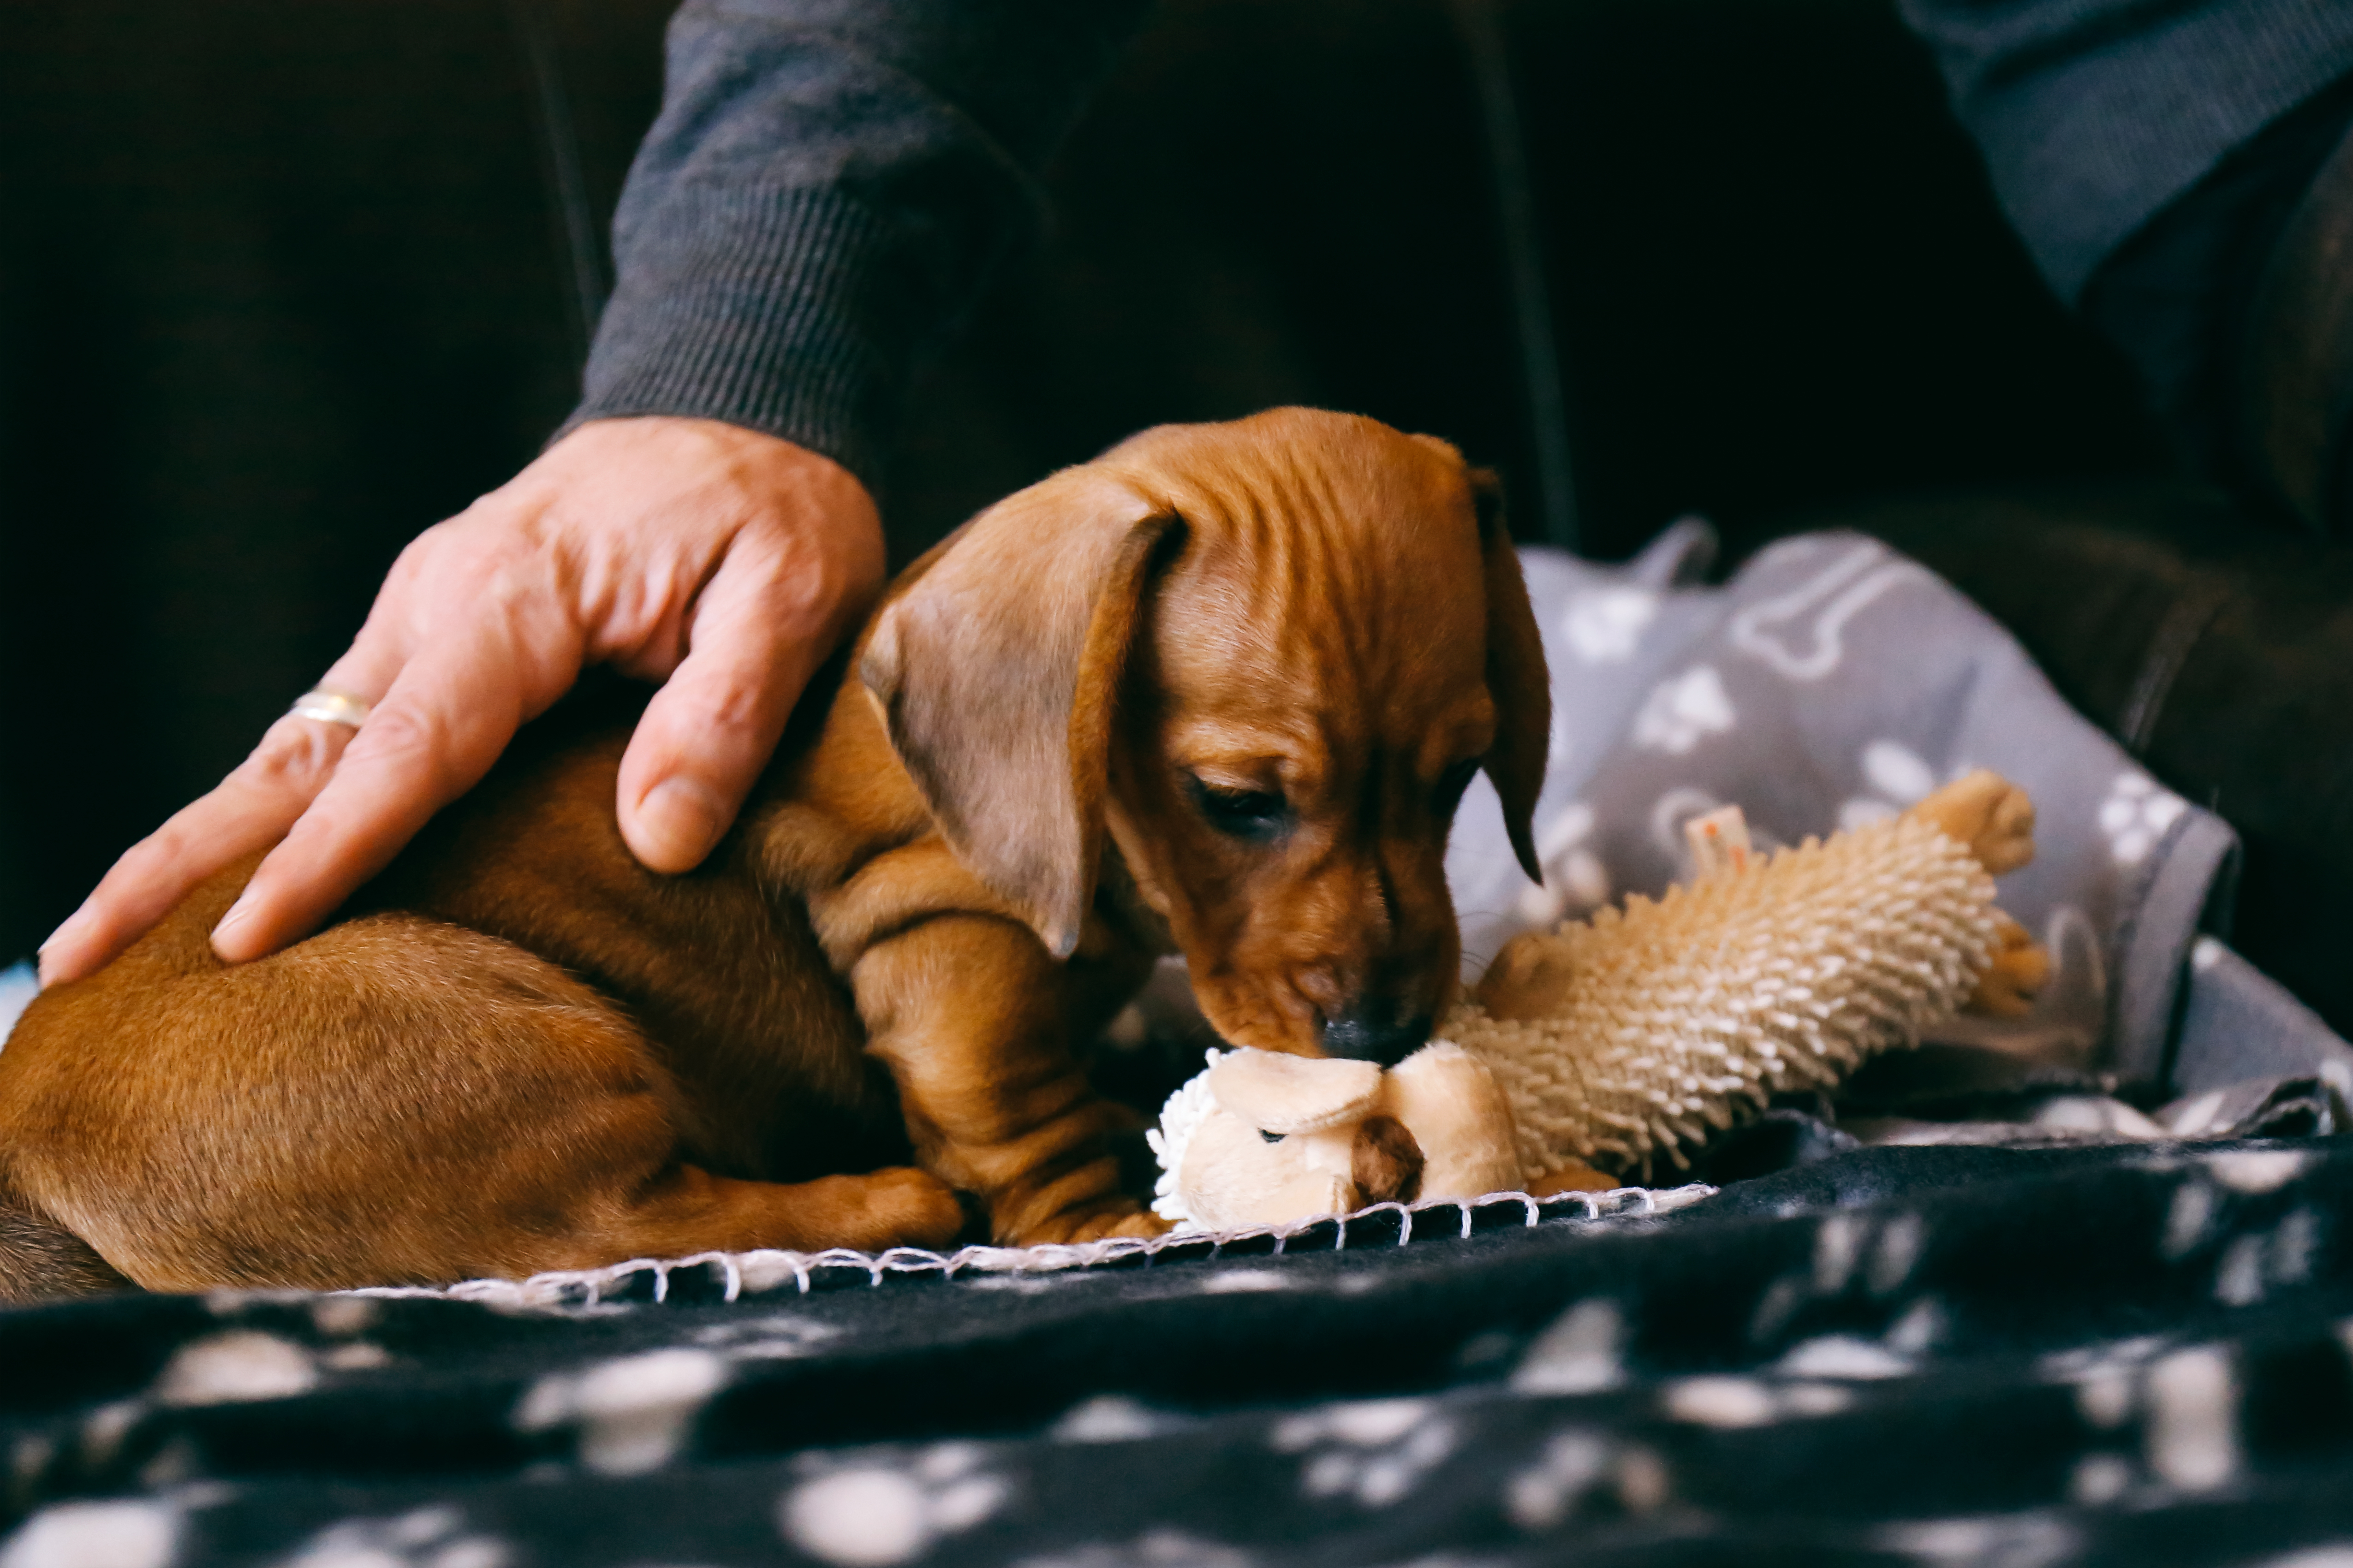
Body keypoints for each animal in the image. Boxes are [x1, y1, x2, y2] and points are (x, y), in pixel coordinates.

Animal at [0, 409, 1553, 1297]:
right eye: (1233, 799)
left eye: (1455, 776)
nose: (1383, 1030)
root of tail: (24, 1163)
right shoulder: (940, 940)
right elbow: (1013, 1107)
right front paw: (1103, 1221)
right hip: (527, 1045)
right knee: (617, 1229)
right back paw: (881, 1200)